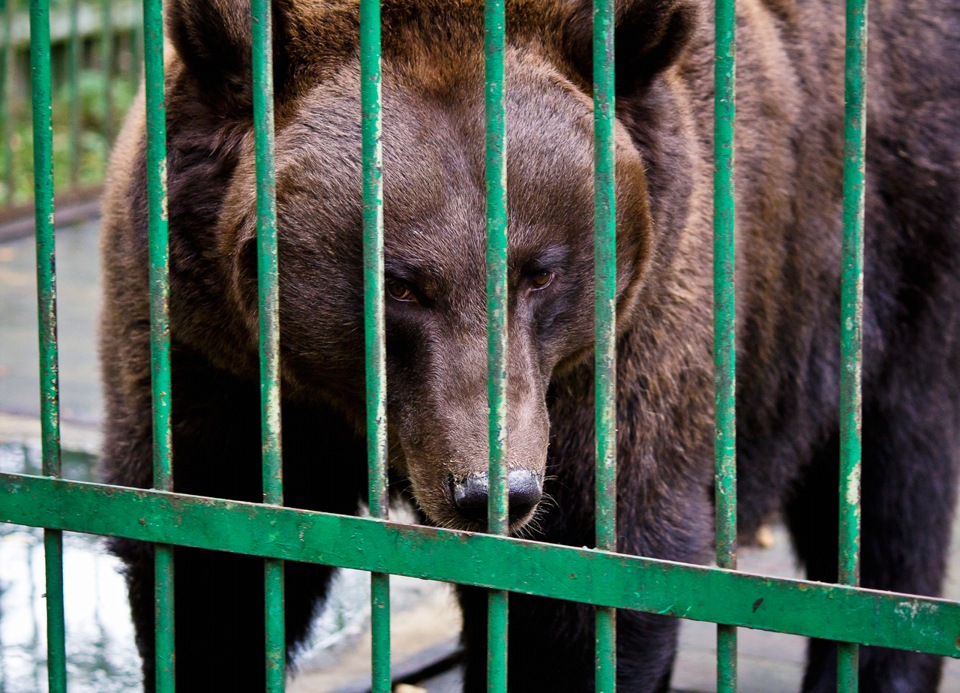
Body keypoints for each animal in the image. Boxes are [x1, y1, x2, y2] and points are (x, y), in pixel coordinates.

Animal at [97, 0, 960, 688]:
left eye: (540, 270)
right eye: (399, 283)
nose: (493, 490)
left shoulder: (620, 353)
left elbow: (583, 588)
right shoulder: (211, 348)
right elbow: (212, 563)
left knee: (892, 497)